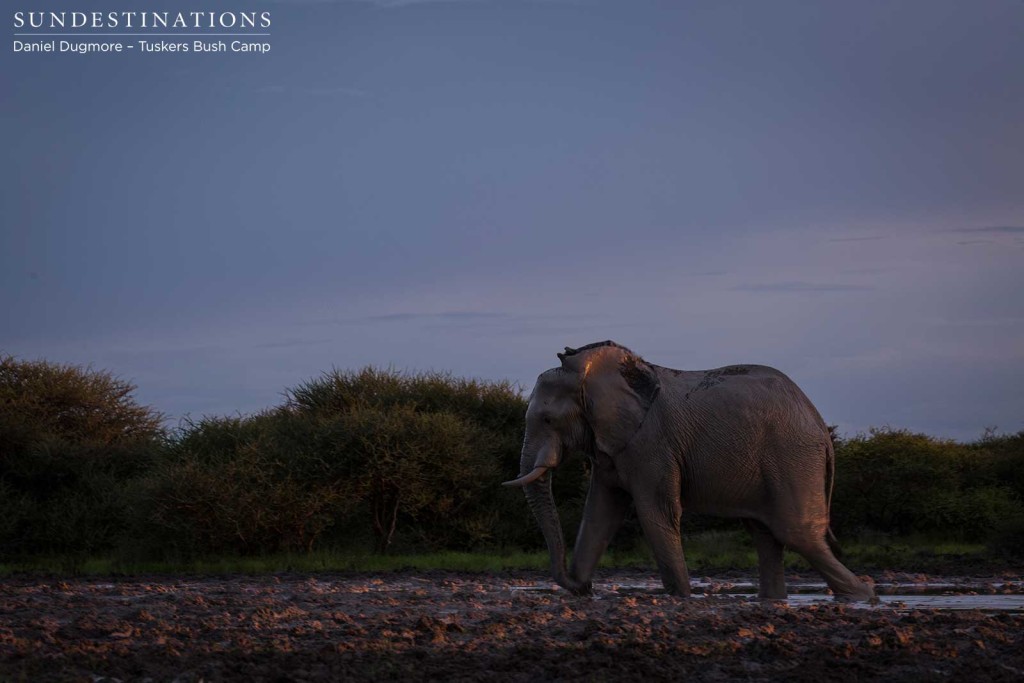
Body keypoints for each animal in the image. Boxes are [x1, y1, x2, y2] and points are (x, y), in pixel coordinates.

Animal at [501, 339, 872, 602]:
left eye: (548, 420)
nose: (582, 585)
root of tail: (819, 424)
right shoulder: (612, 442)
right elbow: (601, 511)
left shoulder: (651, 442)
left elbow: (655, 512)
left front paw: (681, 596)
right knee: (766, 534)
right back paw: (773, 600)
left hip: (793, 457)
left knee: (797, 534)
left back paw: (862, 595)